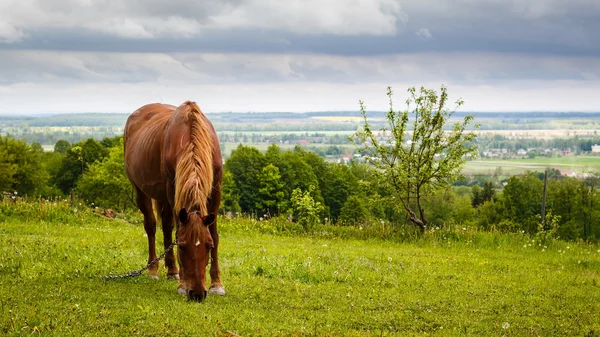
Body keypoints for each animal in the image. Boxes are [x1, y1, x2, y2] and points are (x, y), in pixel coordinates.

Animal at [124, 100, 225, 302]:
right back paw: (153, 269)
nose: (197, 294)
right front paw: (183, 285)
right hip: (141, 190)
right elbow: (177, 230)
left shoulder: (215, 188)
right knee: (151, 226)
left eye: (208, 246)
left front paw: (217, 284)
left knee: (166, 226)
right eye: (183, 247)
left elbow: (214, 233)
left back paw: (172, 270)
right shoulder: (172, 188)